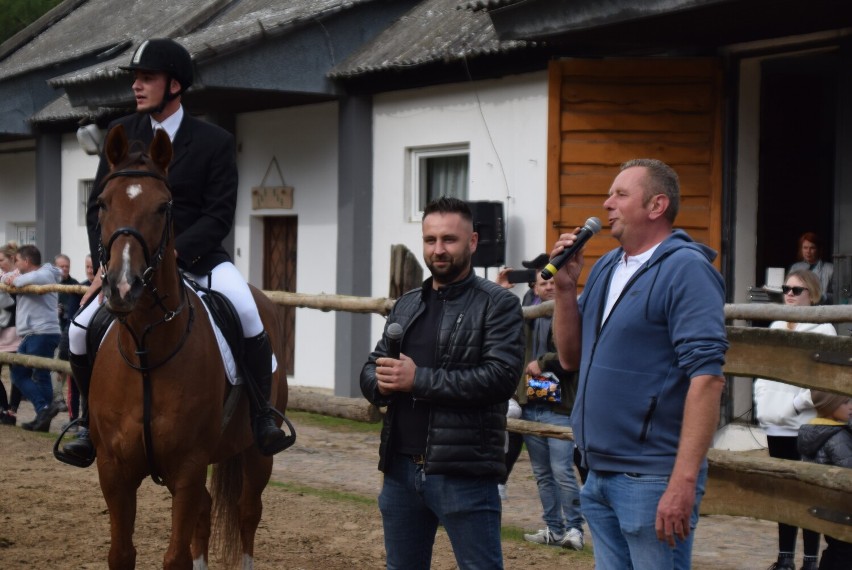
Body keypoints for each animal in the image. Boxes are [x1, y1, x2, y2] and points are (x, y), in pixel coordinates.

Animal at [87, 124, 292, 568]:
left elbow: (176, 557)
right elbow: (121, 553)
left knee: (247, 512)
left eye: (164, 207)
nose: (122, 287)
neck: (146, 349)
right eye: (102, 203)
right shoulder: (114, 470)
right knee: (205, 511)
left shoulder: (188, 465)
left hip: (256, 453)